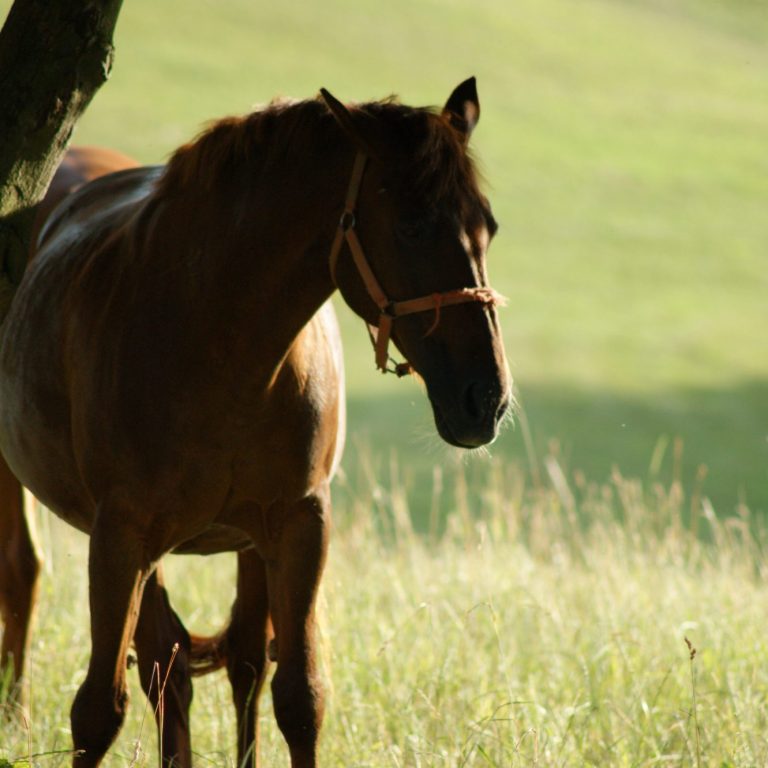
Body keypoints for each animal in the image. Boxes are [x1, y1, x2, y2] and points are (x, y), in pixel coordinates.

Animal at [0, 78, 511, 768]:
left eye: (489, 226)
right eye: (411, 226)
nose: (486, 399)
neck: (213, 336)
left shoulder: (298, 526)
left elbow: (298, 697)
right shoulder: (119, 536)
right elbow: (98, 711)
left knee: (216, 659)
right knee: (31, 578)